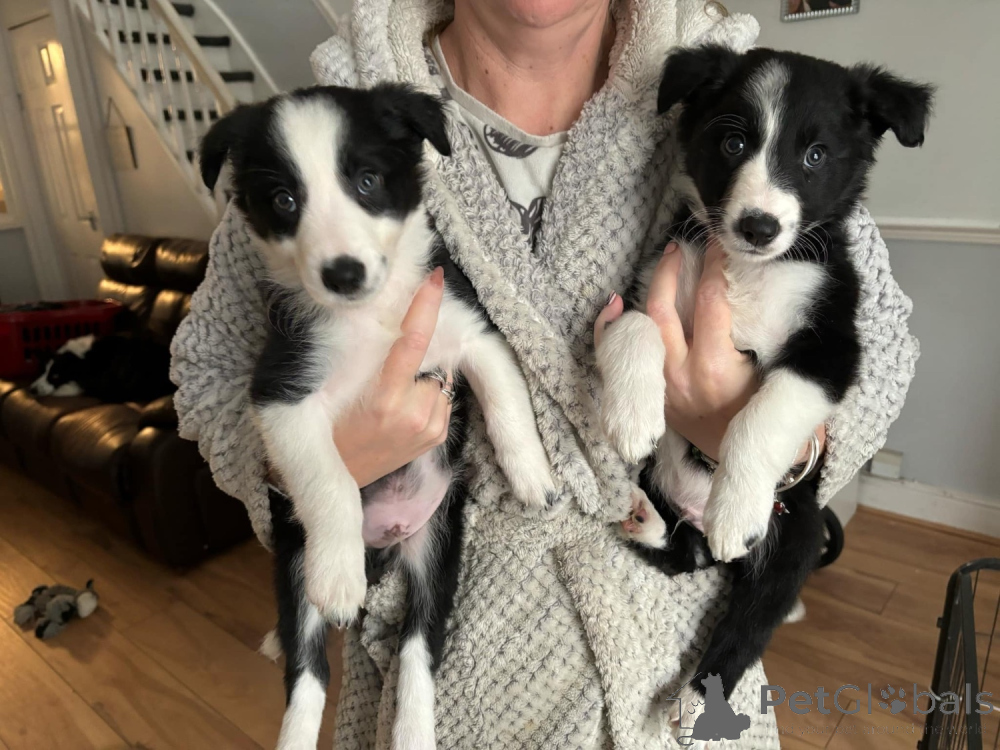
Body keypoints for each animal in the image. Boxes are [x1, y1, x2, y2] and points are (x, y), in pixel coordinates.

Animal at [199, 84, 556, 750]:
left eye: (367, 181)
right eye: (285, 201)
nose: (343, 274)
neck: (374, 316)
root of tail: (385, 545)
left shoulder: (472, 333)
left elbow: (507, 401)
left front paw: (533, 477)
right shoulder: (282, 394)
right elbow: (331, 479)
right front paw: (340, 576)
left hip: (437, 547)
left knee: (418, 647)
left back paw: (413, 729)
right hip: (294, 558)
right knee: (307, 667)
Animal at [595, 45, 932, 732]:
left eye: (815, 155)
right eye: (733, 142)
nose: (758, 226)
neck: (750, 271)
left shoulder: (829, 352)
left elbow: (763, 410)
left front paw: (736, 507)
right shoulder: (657, 280)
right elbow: (637, 325)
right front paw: (632, 412)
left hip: (794, 542)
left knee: (743, 627)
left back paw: (698, 699)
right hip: (667, 497)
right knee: (684, 555)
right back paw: (647, 521)